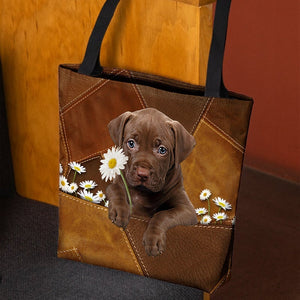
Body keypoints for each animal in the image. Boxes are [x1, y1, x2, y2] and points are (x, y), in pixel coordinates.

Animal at [106, 108, 198, 255]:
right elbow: (116, 189)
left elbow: (163, 214)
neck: (143, 193)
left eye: (162, 150)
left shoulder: (187, 210)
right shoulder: (117, 183)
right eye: (131, 143)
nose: (142, 174)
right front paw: (120, 211)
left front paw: (153, 238)